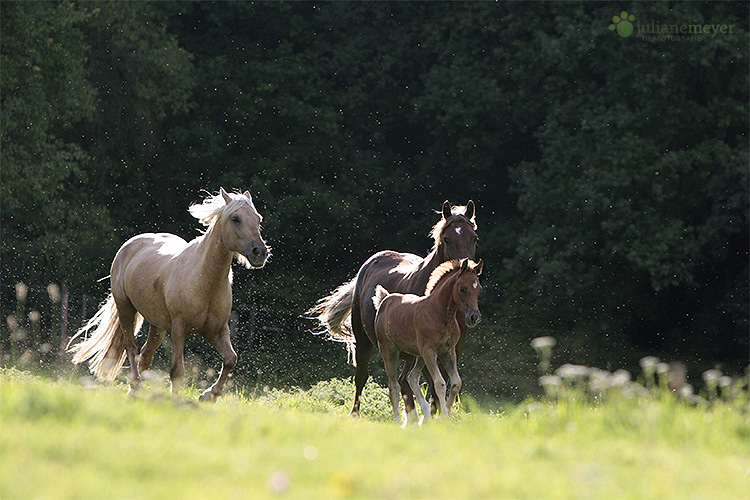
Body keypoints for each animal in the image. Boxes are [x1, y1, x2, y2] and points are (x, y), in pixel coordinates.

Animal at [68, 188, 270, 402]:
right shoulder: (179, 329)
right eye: (235, 218)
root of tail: (130, 245)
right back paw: (135, 387)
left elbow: (231, 359)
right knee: (131, 347)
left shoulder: (217, 331)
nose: (260, 252)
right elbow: (177, 371)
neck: (203, 281)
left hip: (158, 326)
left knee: (145, 356)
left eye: (258, 219)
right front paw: (176, 401)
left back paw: (138, 390)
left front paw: (209, 395)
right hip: (126, 309)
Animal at [374, 260, 484, 424]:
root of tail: (385, 300)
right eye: (462, 288)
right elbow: (440, 383)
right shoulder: (430, 351)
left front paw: (446, 413)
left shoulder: (448, 351)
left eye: (479, 289)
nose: (474, 317)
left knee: (411, 377)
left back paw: (425, 413)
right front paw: (443, 417)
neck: (441, 314)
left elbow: (456, 382)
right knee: (393, 385)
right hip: (390, 351)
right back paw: (398, 422)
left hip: (418, 356)